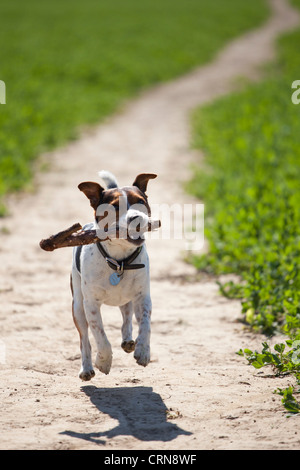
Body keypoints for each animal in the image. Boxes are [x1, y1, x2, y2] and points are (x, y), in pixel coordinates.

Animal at [70, 171, 159, 380]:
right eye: (115, 207)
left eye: (141, 201)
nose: (136, 218)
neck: (120, 261)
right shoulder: (91, 305)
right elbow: (100, 336)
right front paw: (103, 361)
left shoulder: (143, 297)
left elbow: (145, 325)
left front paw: (143, 350)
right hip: (77, 306)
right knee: (84, 338)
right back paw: (86, 368)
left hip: (127, 298)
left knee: (127, 316)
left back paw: (128, 341)